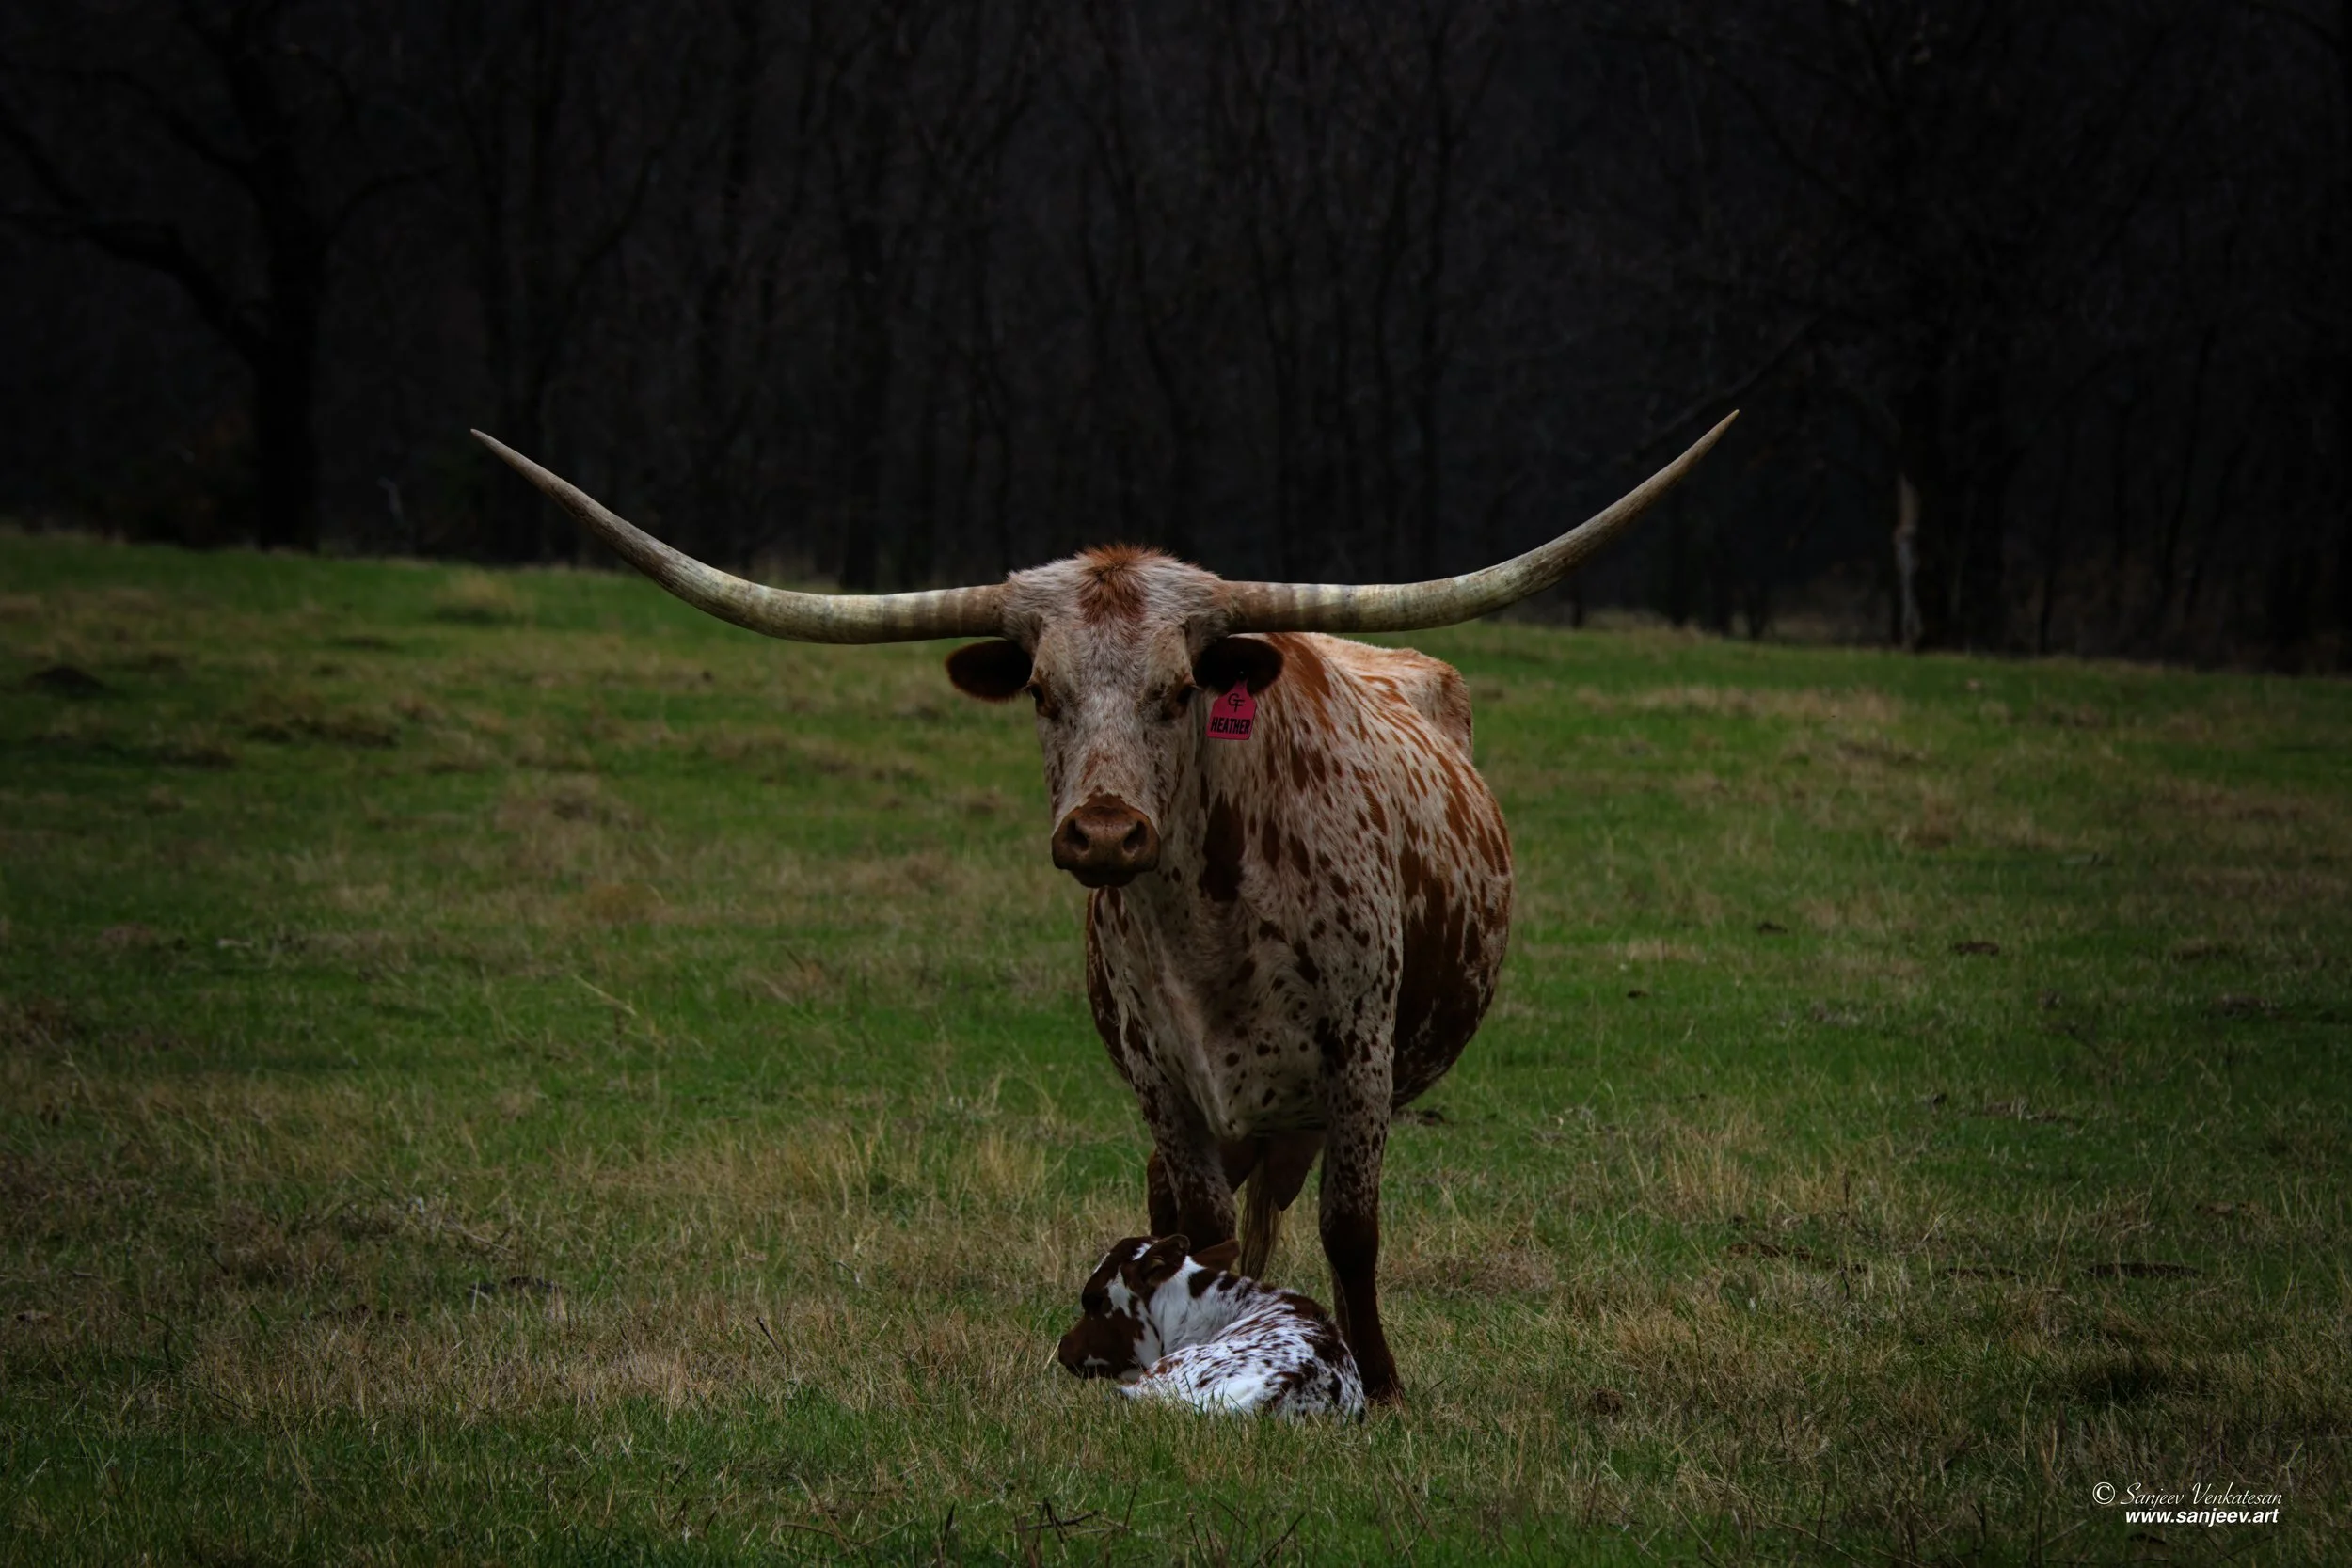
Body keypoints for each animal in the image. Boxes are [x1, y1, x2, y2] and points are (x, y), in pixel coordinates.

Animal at [472, 412, 1733, 1403]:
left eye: (1181, 690)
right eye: (1041, 689)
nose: (1106, 832)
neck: (1214, 927)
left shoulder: (1358, 1061)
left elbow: (1352, 1228)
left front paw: (1379, 1380)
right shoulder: (1161, 1075)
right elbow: (1197, 1230)